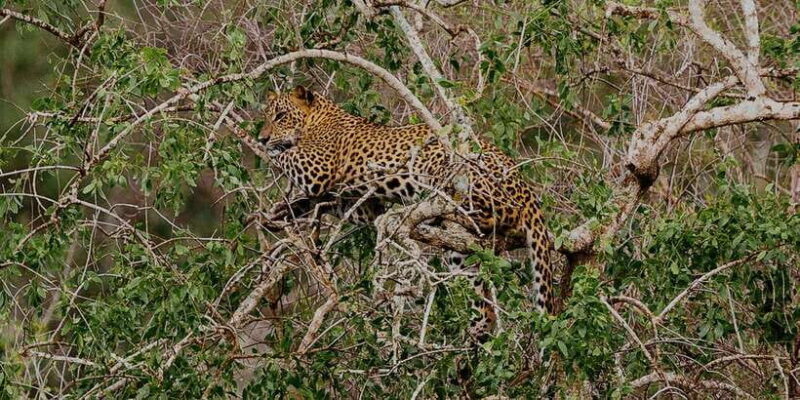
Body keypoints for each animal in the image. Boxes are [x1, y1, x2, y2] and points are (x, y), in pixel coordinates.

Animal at [259, 85, 554, 339]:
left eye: (281, 116)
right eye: (268, 116)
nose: (262, 137)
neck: (319, 118)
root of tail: (526, 188)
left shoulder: (317, 168)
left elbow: (288, 156)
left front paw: (268, 149)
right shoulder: (362, 205)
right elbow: (319, 201)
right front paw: (282, 211)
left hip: (445, 165)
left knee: (485, 212)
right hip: (459, 253)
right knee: (483, 302)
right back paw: (476, 330)